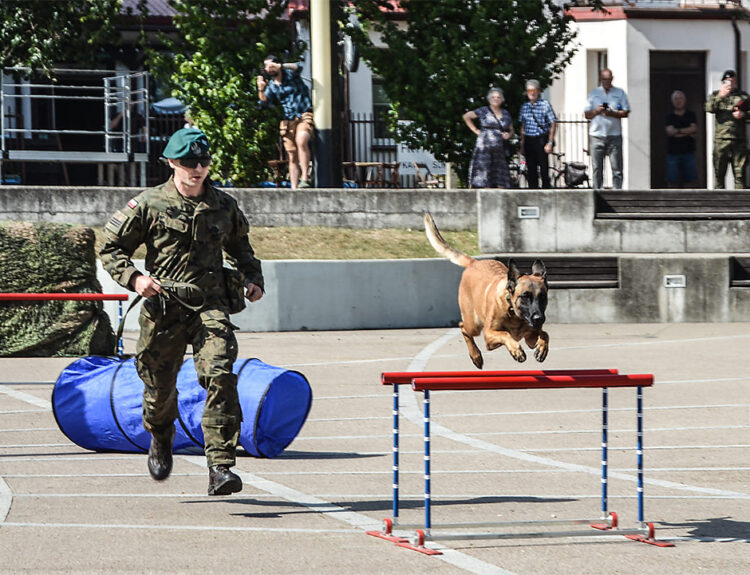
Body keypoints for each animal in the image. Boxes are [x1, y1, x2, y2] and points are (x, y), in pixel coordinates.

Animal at [424, 212, 552, 368]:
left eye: (543, 297)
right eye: (525, 296)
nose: (539, 319)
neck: (513, 312)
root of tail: (474, 262)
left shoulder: (530, 337)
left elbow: (545, 334)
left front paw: (542, 349)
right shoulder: (489, 335)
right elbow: (505, 334)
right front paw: (516, 350)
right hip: (473, 324)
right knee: (463, 327)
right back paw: (476, 356)